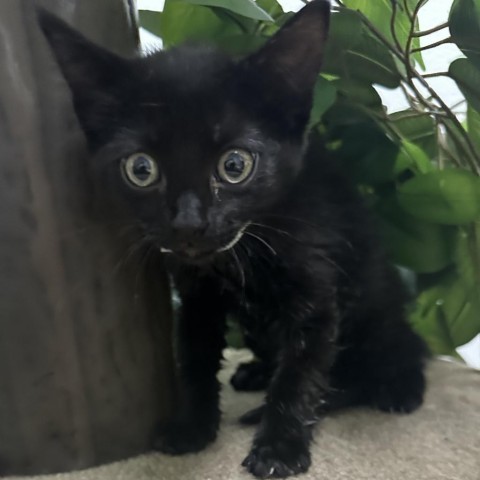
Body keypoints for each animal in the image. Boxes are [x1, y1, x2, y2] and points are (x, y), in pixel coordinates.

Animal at [38, 2, 428, 476]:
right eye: (141, 169)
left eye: (235, 165)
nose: (189, 224)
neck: (237, 253)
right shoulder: (194, 296)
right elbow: (194, 356)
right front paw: (192, 426)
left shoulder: (317, 289)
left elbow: (301, 373)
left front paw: (280, 447)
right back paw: (256, 374)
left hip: (376, 313)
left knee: (390, 362)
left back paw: (389, 389)